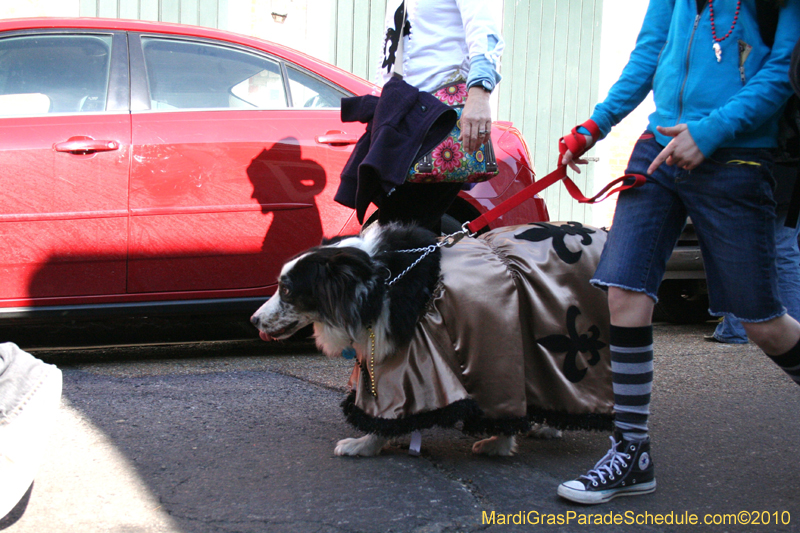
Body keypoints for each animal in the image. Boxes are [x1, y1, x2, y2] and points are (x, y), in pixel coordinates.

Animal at [250, 220, 612, 458]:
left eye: (287, 290)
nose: (253, 320)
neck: (379, 283)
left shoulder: (476, 341)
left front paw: (364, 444)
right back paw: (551, 425)